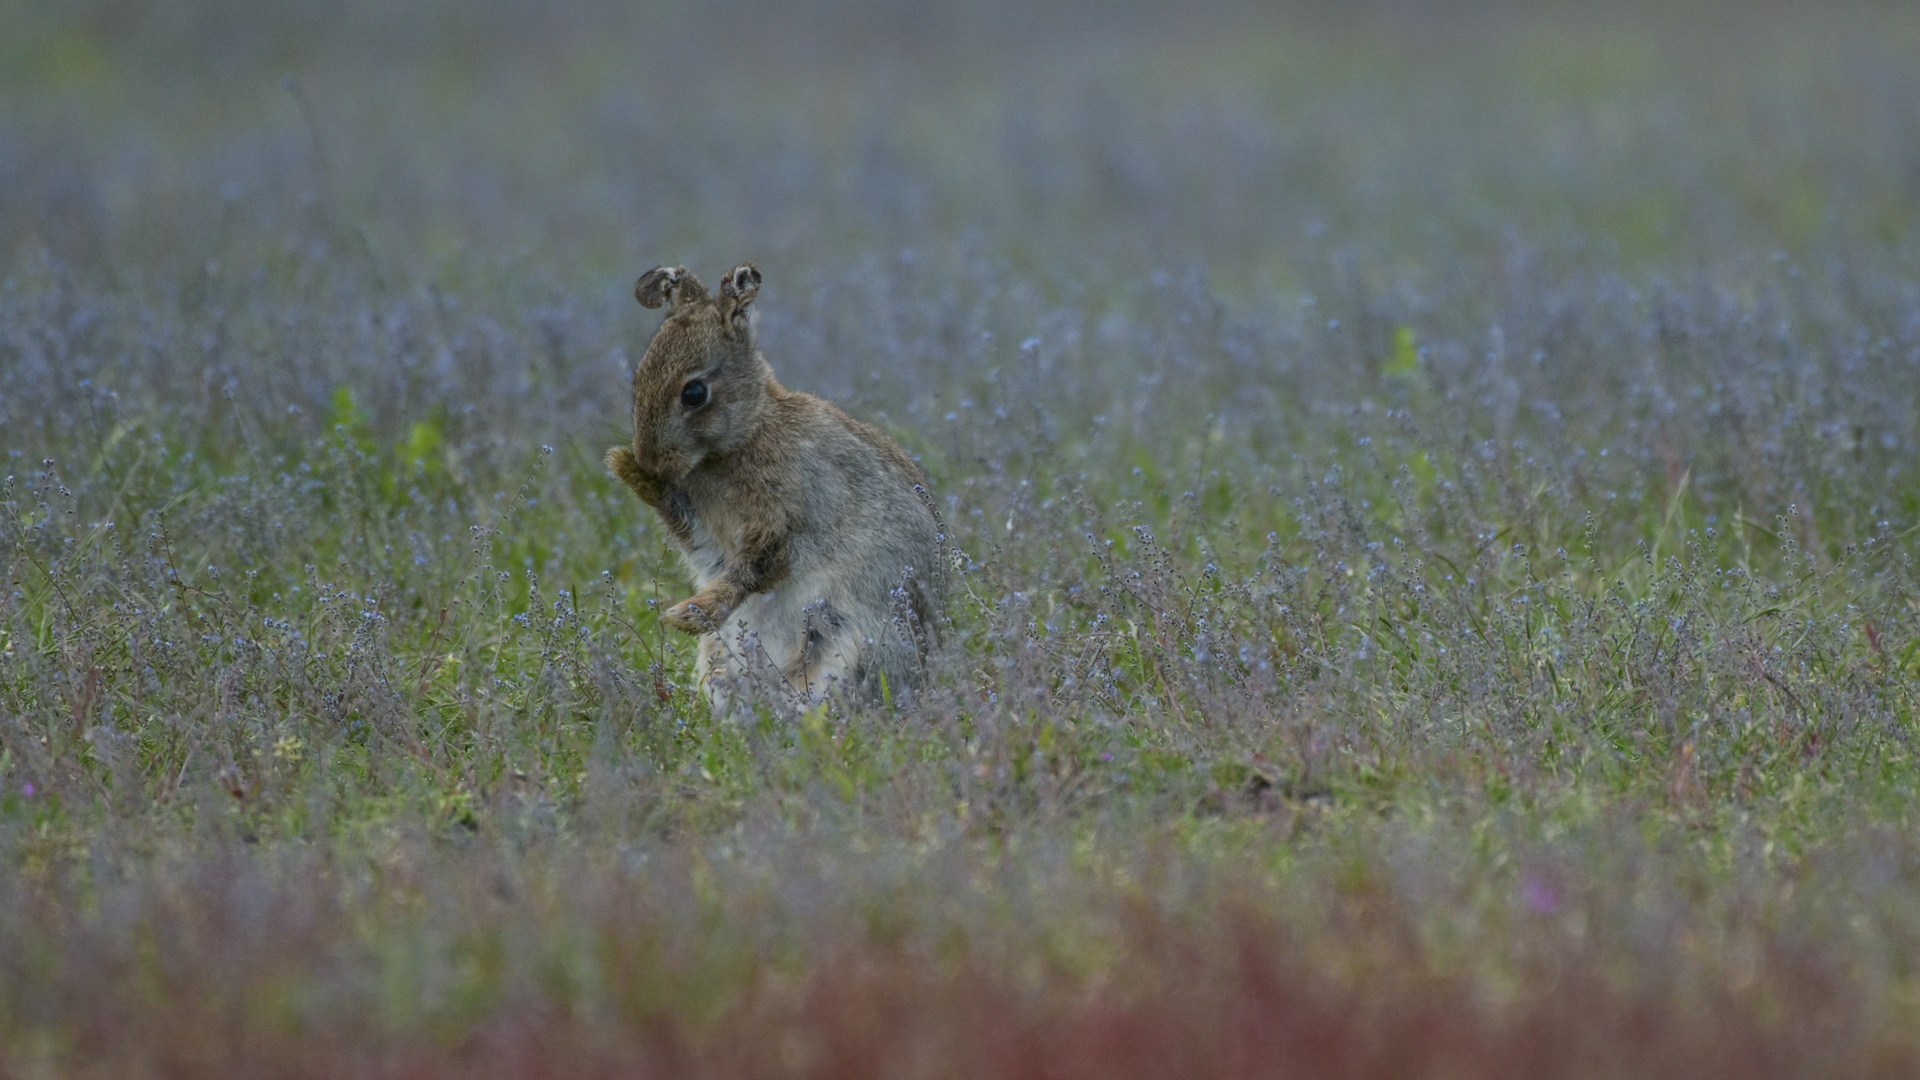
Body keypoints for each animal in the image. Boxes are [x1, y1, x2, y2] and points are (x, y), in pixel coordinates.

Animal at [606, 263, 944, 711]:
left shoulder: (785, 523)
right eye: (638, 380)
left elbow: (751, 570)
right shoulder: (708, 535)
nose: (650, 460)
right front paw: (626, 468)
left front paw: (687, 614)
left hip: (844, 642)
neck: (746, 434)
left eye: (694, 393)